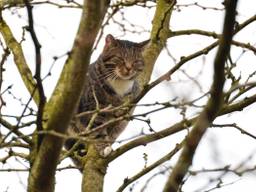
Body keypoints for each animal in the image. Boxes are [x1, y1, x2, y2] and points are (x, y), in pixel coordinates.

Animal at [64, 34, 148, 168]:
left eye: (136, 61)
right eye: (120, 58)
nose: (129, 68)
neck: (120, 83)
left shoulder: (124, 114)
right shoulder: (92, 109)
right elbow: (98, 131)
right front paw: (104, 147)